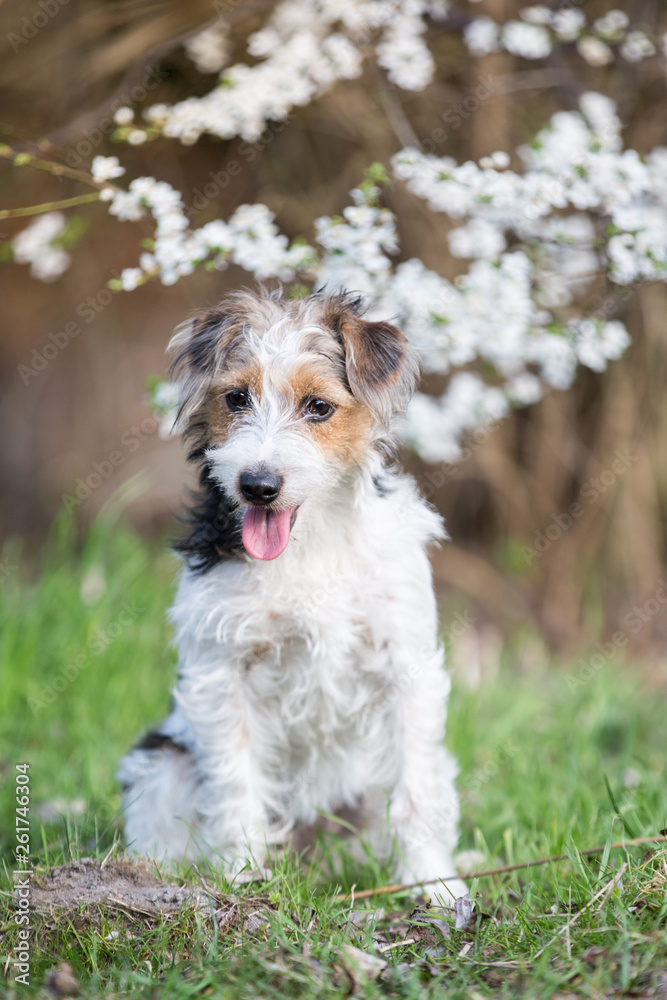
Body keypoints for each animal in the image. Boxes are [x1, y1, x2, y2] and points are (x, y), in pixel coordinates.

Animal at [117, 286, 468, 904]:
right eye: (236, 398)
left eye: (319, 407)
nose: (257, 485)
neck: (310, 542)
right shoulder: (223, 676)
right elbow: (237, 786)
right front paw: (241, 877)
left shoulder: (404, 667)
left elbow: (417, 791)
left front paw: (434, 883)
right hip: (161, 763)